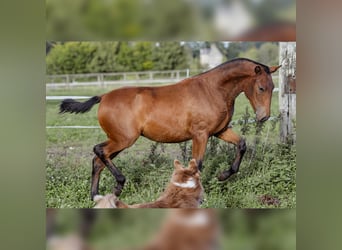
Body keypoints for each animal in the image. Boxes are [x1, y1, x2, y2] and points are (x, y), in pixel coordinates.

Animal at [60, 58, 280, 199]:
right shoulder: (200, 135)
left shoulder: (220, 130)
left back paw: (97, 196)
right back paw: (118, 185)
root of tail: (104, 97)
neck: (212, 91)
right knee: (99, 151)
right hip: (124, 139)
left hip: (119, 140)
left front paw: (223, 175)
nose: (263, 117)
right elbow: (198, 165)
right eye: (261, 88)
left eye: (273, 87)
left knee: (98, 160)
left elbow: (241, 144)